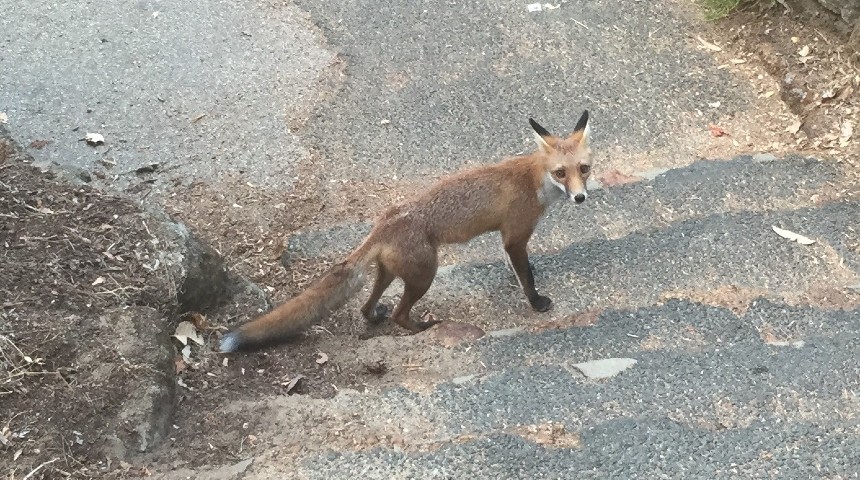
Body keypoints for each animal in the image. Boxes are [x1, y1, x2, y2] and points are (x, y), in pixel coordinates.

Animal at [219, 110, 593, 353]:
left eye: (584, 169)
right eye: (561, 173)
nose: (581, 197)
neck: (535, 180)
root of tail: (385, 222)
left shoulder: (508, 238)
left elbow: (518, 267)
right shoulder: (516, 234)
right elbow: (525, 276)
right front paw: (536, 302)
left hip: (390, 273)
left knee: (366, 307)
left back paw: (376, 316)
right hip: (425, 274)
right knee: (401, 314)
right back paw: (424, 328)